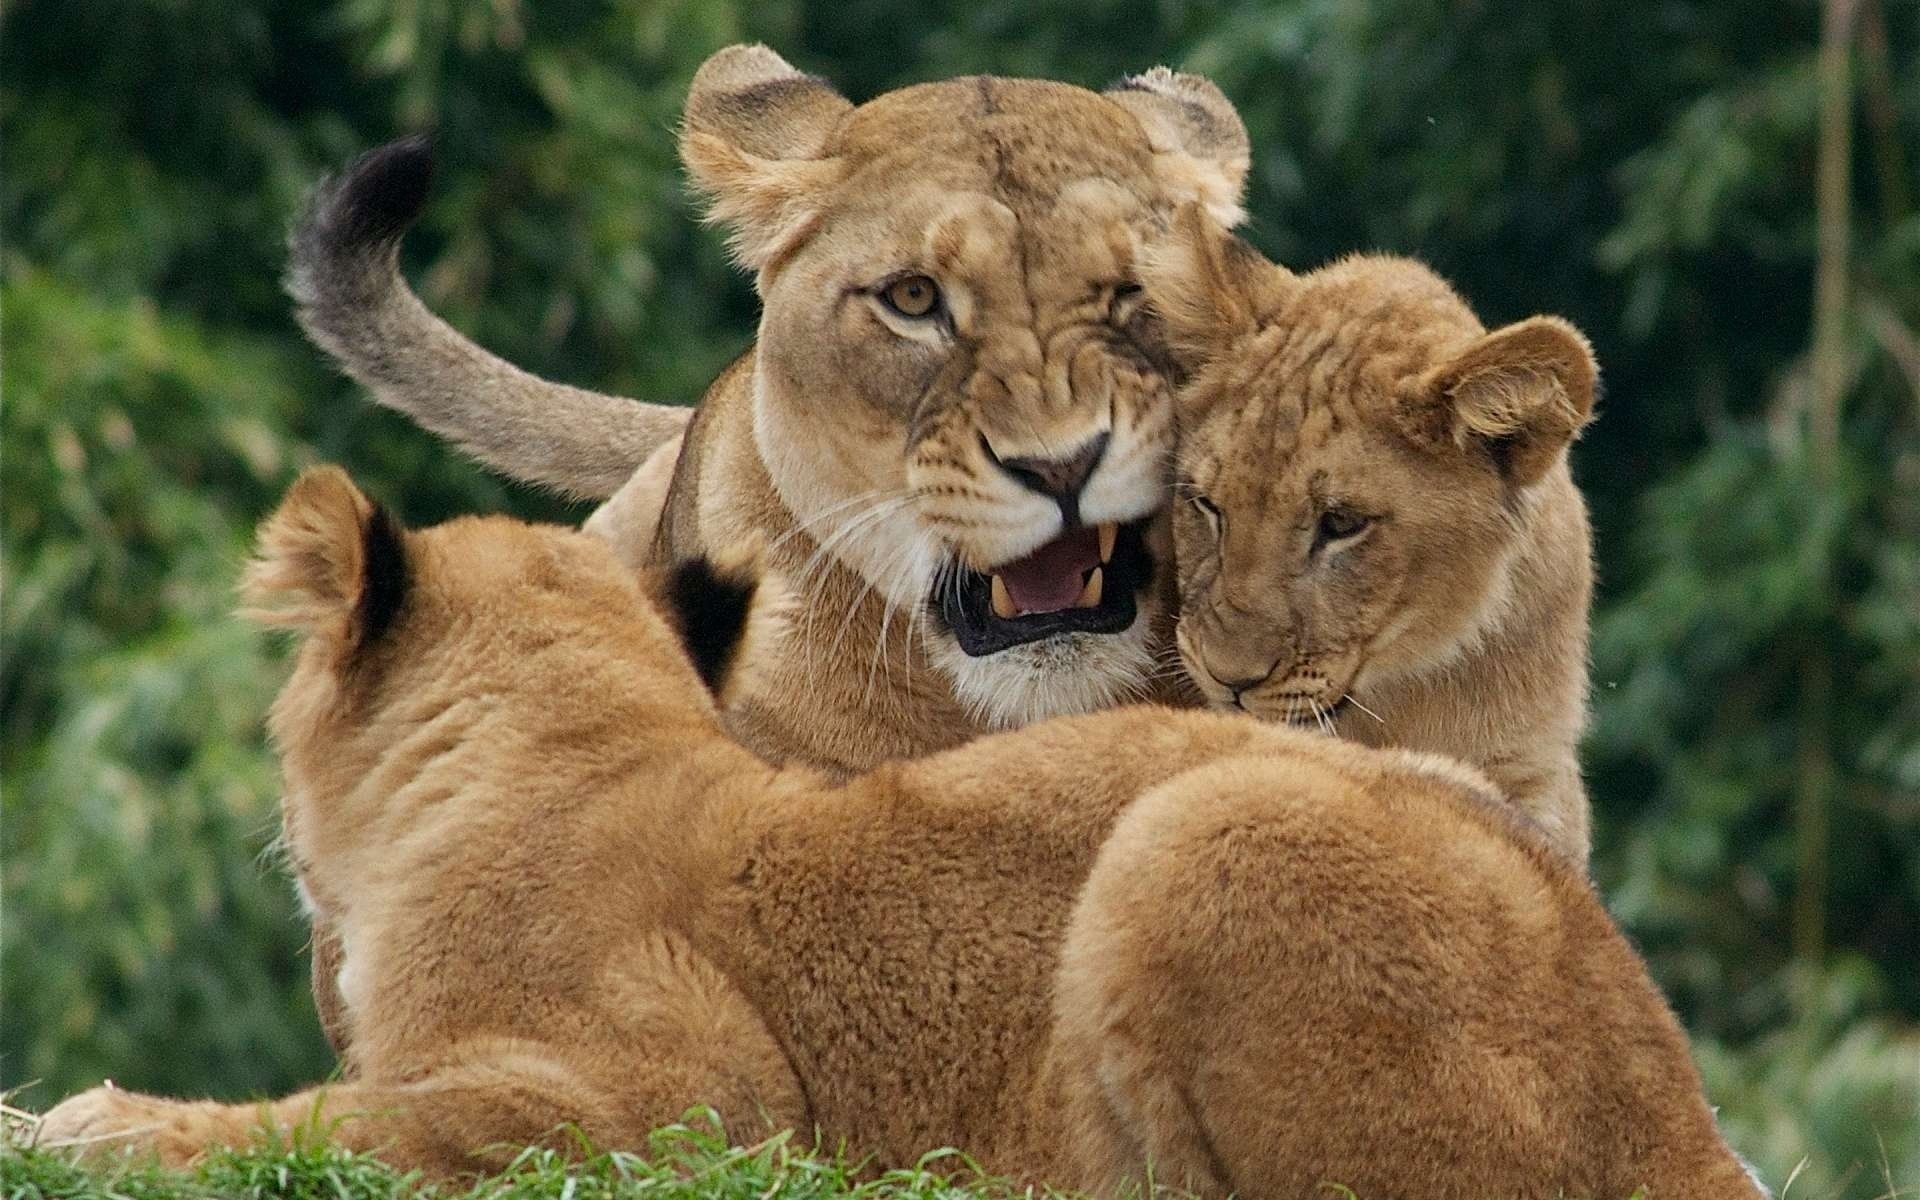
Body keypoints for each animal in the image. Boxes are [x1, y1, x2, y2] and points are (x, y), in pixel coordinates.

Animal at [41, 468, 1758, 1198]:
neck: (564, 741)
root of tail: (1675, 1103)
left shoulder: (696, 1104)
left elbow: (350, 1120)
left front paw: (88, 1127)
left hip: (1205, 824)